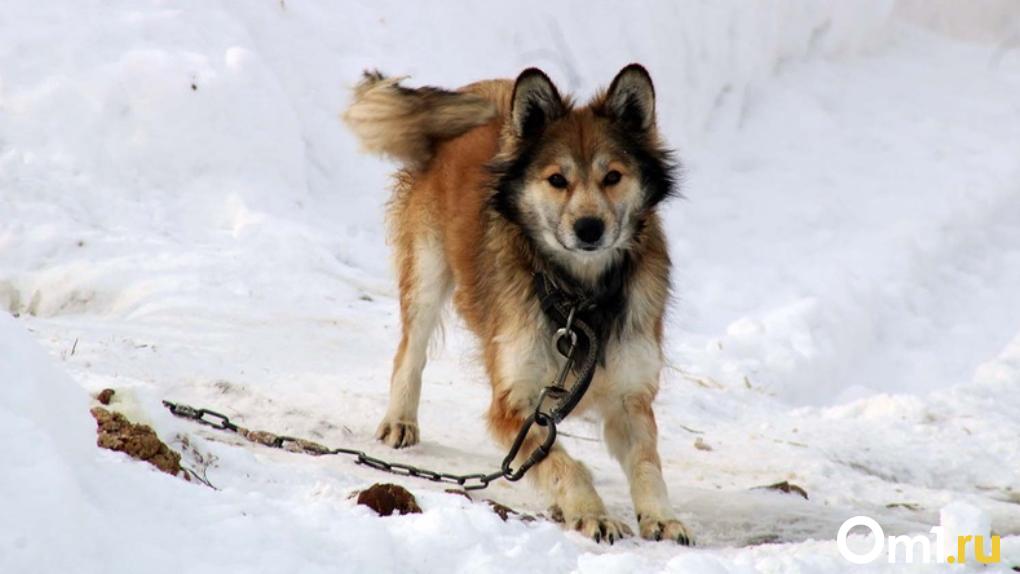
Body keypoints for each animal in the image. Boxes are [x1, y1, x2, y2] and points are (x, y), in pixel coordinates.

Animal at [344, 65, 693, 546]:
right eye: (557, 180)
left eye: (613, 176)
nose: (589, 228)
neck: (577, 299)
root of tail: (485, 91)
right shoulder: (513, 403)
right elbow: (561, 462)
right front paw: (591, 513)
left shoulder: (630, 397)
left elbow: (646, 464)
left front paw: (662, 517)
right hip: (427, 273)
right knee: (410, 353)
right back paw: (400, 419)